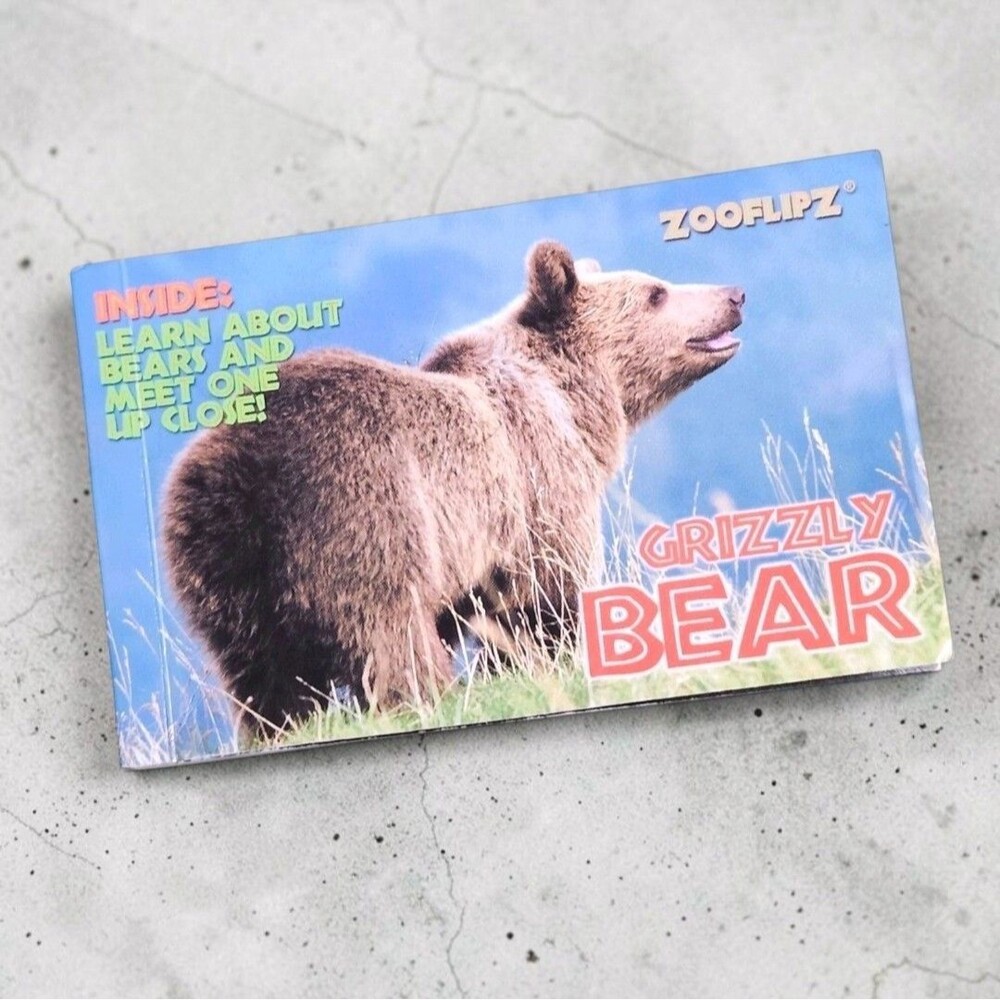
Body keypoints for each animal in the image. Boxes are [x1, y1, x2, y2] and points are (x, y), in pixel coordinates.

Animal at [162, 241, 744, 732]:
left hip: (221, 566)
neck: (575, 402)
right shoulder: (531, 480)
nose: (734, 295)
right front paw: (539, 665)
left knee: (261, 672)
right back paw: (427, 698)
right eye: (655, 292)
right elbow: (544, 594)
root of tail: (241, 467)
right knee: (391, 632)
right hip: (363, 513)